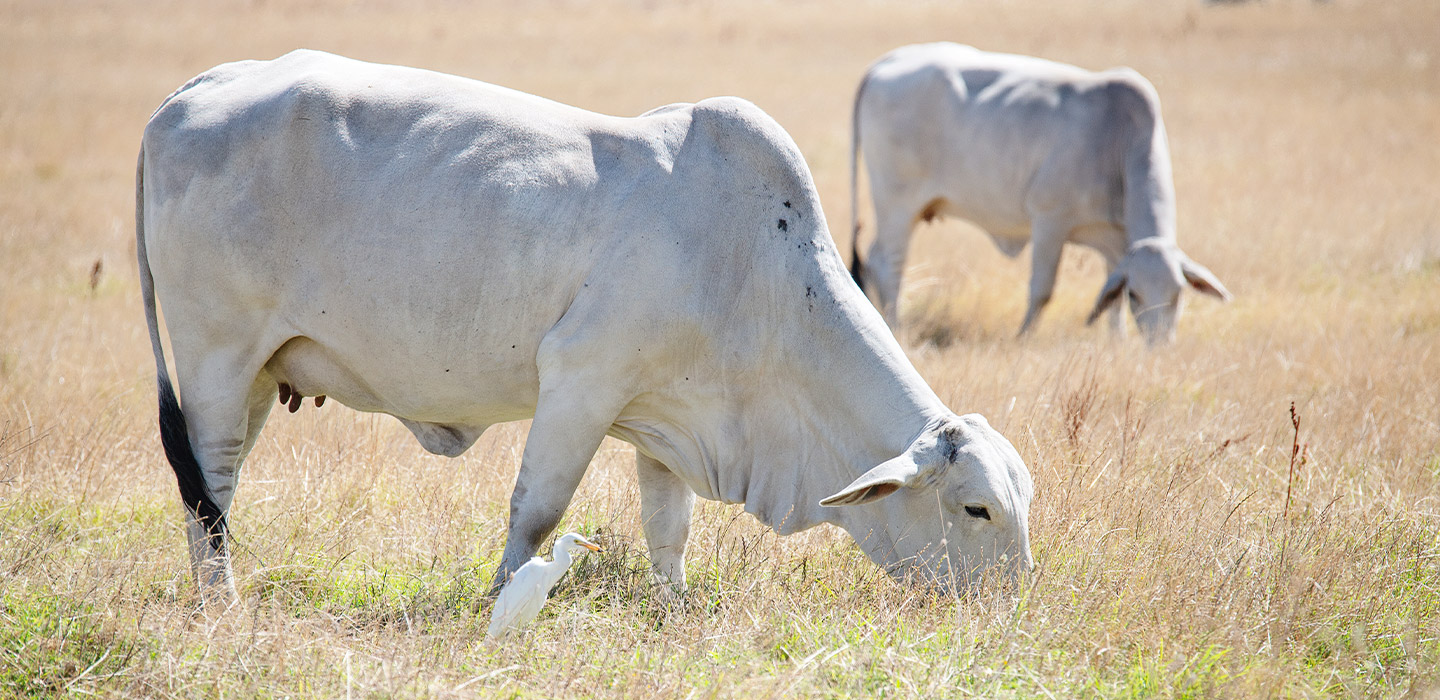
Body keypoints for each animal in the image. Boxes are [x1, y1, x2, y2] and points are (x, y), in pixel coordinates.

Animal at [137, 50, 1034, 607]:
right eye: (977, 509)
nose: (1015, 607)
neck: (760, 275)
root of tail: (194, 92)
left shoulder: (666, 417)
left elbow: (668, 530)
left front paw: (674, 607)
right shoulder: (581, 383)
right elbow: (536, 511)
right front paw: (500, 600)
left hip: (260, 373)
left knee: (210, 493)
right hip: (216, 360)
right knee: (210, 486)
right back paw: (222, 604)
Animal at [848, 43, 1230, 345]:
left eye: (1178, 294)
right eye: (1137, 295)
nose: (1158, 345)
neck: (1119, 142)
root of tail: (884, 63)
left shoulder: (1118, 244)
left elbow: (1111, 296)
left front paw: (1117, 341)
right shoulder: (1050, 220)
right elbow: (1043, 290)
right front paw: (1023, 337)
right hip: (897, 204)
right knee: (888, 263)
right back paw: (895, 326)